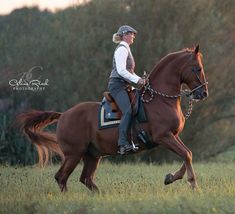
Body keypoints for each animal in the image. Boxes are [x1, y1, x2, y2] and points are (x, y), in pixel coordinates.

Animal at [16, 44, 207, 192]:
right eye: (198, 68)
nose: (203, 93)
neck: (160, 100)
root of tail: (63, 115)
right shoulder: (164, 136)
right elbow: (186, 154)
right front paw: (193, 184)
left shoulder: (173, 136)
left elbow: (188, 153)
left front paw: (170, 177)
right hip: (73, 154)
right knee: (61, 177)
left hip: (92, 155)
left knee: (85, 179)